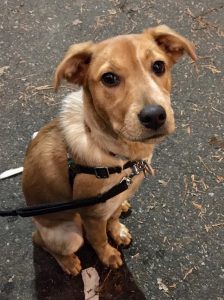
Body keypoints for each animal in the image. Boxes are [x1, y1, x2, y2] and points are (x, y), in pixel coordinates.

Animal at [21, 26, 195, 276]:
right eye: (109, 78)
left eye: (158, 66)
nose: (154, 116)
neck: (116, 154)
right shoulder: (92, 215)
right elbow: (99, 239)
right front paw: (108, 255)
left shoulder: (112, 202)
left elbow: (112, 220)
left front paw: (118, 230)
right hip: (69, 234)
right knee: (41, 240)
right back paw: (68, 262)